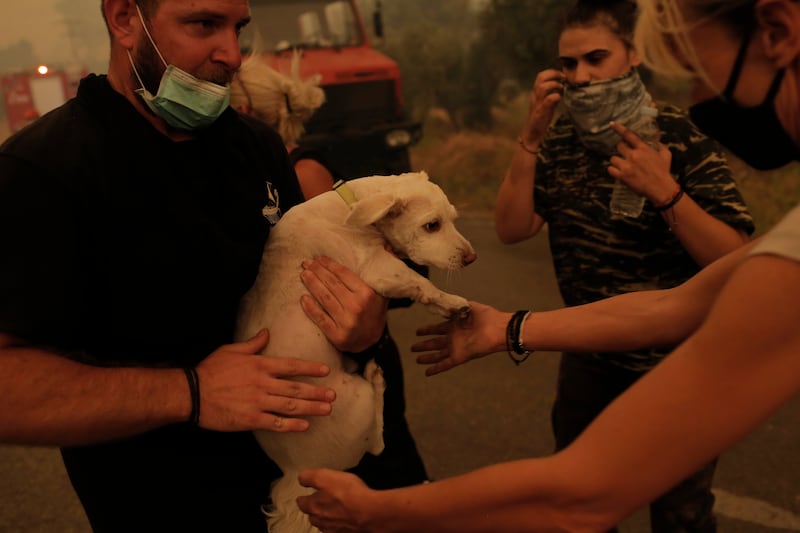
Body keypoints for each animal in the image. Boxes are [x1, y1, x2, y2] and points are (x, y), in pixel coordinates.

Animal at [236, 171, 476, 532]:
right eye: (432, 225)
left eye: (452, 218)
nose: (470, 257)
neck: (352, 207)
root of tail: (296, 471)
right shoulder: (378, 268)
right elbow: (423, 284)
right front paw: (453, 301)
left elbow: (423, 292)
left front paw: (447, 309)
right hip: (359, 401)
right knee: (376, 444)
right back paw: (376, 378)